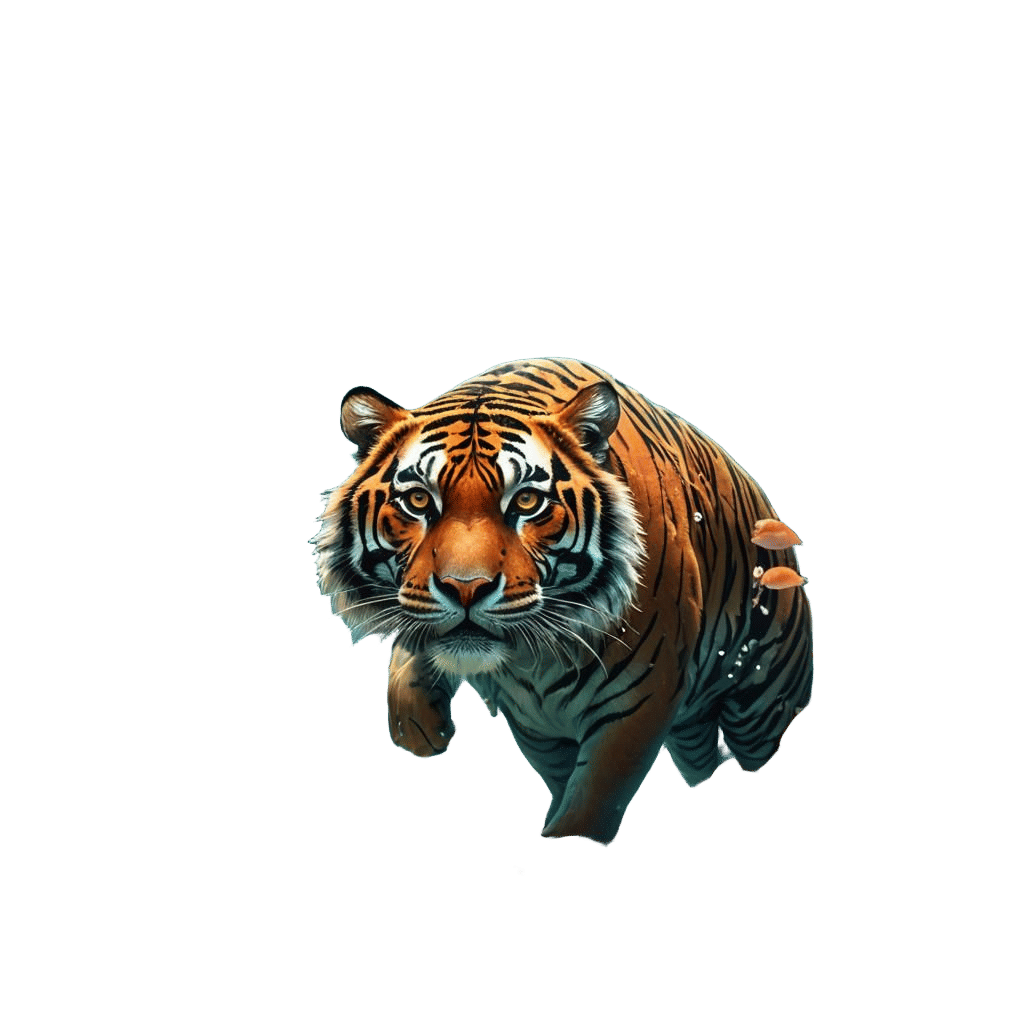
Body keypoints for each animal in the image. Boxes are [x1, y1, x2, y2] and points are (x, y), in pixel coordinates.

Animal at [312, 358, 813, 845]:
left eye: (526, 502)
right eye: (418, 500)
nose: (466, 587)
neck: (530, 662)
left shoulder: (638, 702)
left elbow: (591, 803)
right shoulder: (538, 726)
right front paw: (419, 724)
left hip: (762, 703)